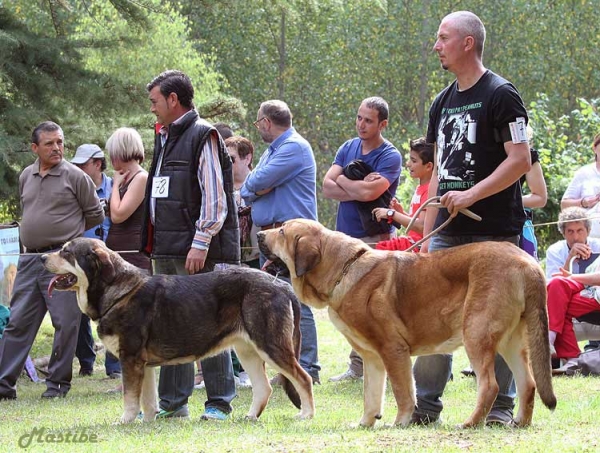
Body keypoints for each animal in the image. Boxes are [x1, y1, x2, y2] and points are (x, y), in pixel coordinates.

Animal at [42, 238, 314, 422]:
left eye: (66, 252)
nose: (42, 257)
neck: (119, 292)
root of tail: (282, 286)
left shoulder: (130, 359)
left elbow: (130, 399)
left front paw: (124, 422)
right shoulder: (143, 365)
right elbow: (147, 401)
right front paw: (147, 423)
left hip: (271, 346)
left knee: (304, 378)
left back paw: (307, 415)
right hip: (248, 350)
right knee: (264, 387)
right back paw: (250, 416)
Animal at [258, 219, 556, 428]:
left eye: (282, 231)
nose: (260, 235)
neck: (343, 268)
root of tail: (527, 263)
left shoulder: (393, 350)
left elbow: (403, 392)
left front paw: (400, 422)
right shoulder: (372, 358)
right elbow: (371, 394)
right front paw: (365, 423)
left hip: (476, 334)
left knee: (491, 385)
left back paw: (470, 423)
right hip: (511, 342)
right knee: (528, 383)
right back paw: (520, 422)